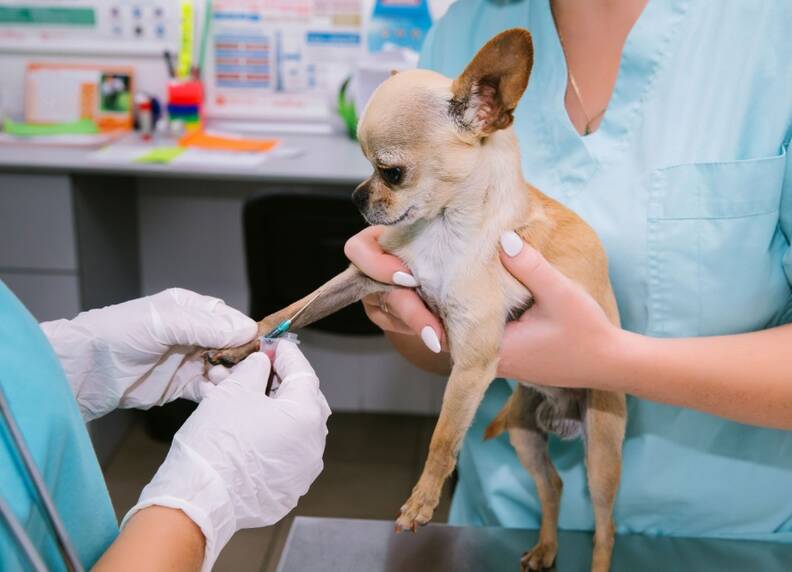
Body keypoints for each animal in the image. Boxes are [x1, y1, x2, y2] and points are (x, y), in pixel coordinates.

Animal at [209, 31, 624, 572]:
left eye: (391, 172)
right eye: (365, 167)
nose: (355, 197)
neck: (444, 232)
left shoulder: (472, 362)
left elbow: (443, 437)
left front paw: (423, 500)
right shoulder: (365, 276)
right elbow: (288, 311)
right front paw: (242, 343)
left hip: (602, 447)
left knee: (605, 526)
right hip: (525, 434)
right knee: (552, 485)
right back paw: (546, 548)